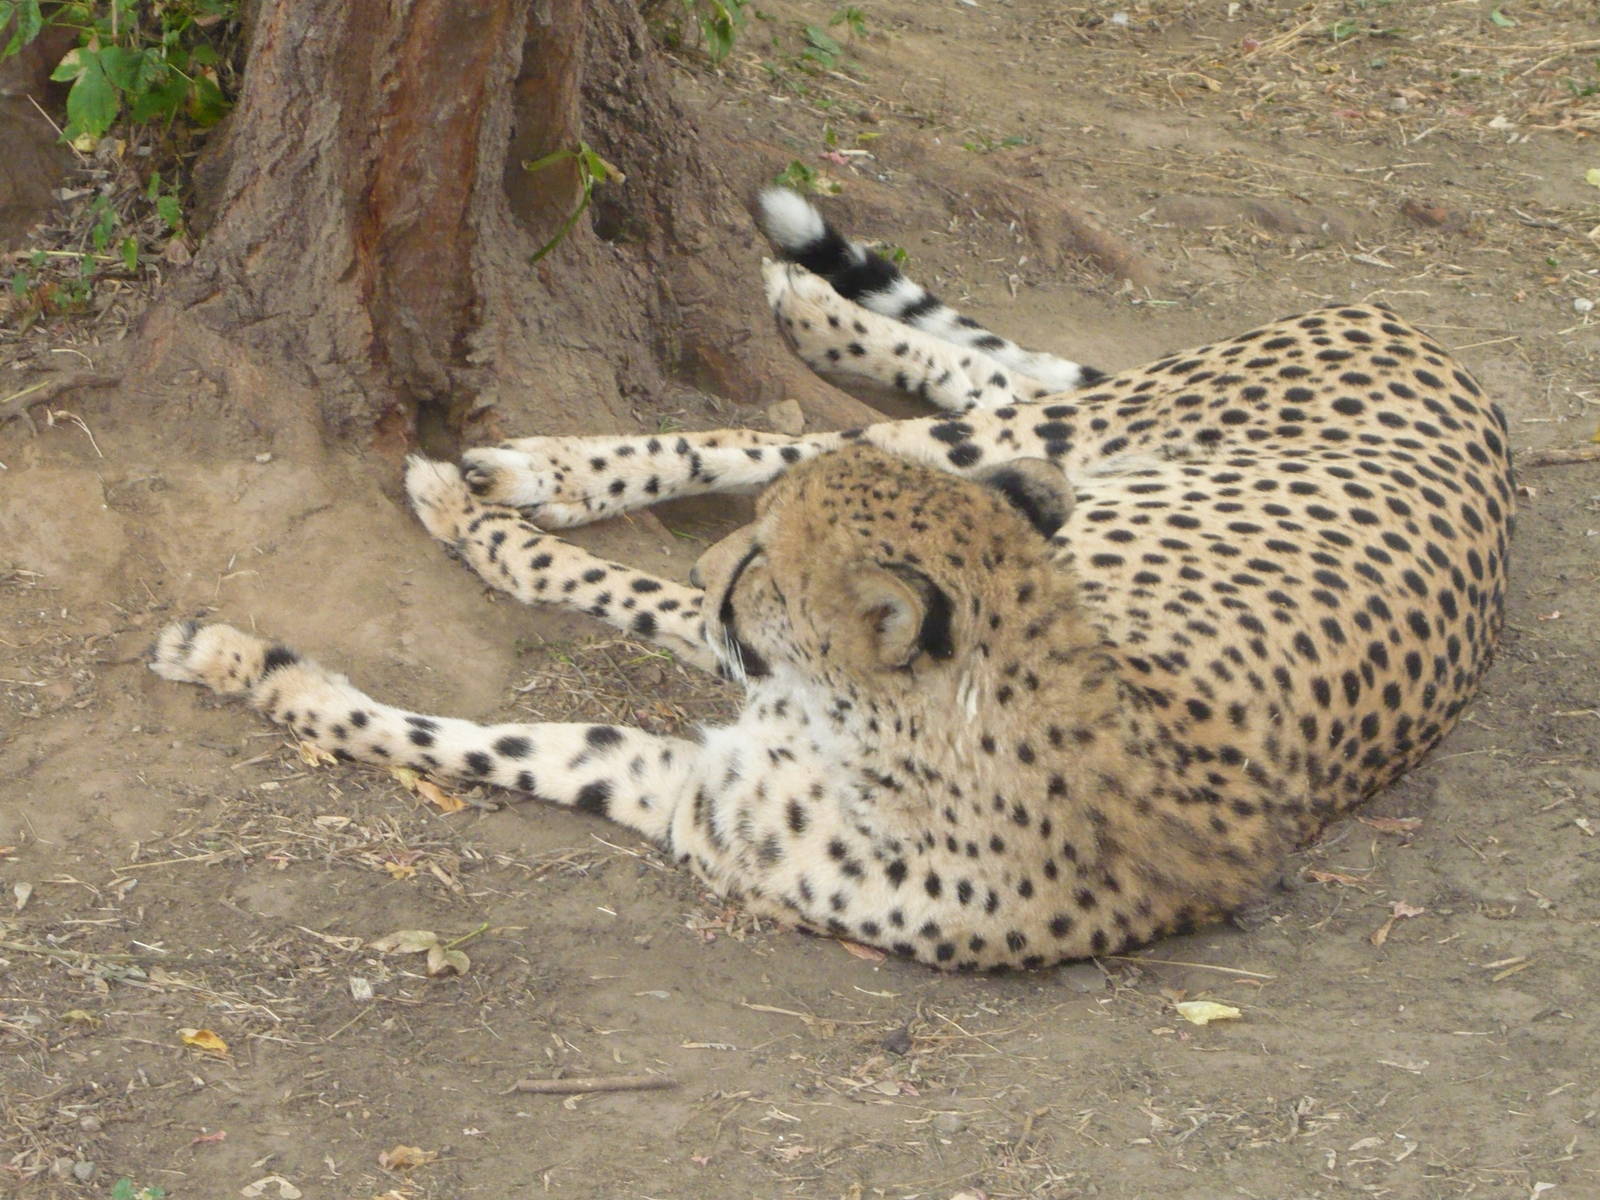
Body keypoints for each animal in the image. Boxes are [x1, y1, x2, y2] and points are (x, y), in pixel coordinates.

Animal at [152, 188, 1514, 971]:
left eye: (766, 563)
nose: (722, 560)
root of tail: (1441, 355)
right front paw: (251, 657)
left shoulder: (685, 787)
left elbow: (483, 722)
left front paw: (256, 654)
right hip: (1051, 435)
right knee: (881, 415)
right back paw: (800, 310)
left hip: (1057, 437)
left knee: (870, 430)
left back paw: (539, 475)